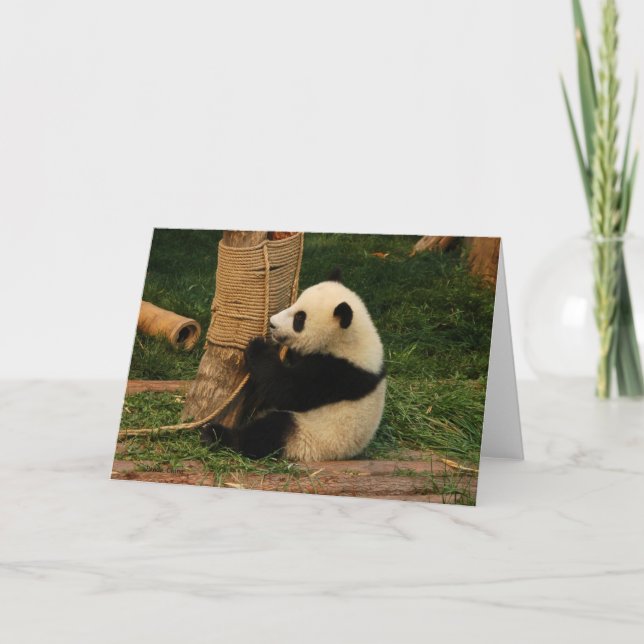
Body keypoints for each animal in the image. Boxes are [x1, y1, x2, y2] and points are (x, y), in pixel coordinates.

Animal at [200, 270, 387, 461]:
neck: (349, 339)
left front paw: (258, 347)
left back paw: (217, 435)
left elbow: (287, 390)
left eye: (300, 318)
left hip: (310, 437)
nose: (272, 323)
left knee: (270, 432)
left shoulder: (337, 372)